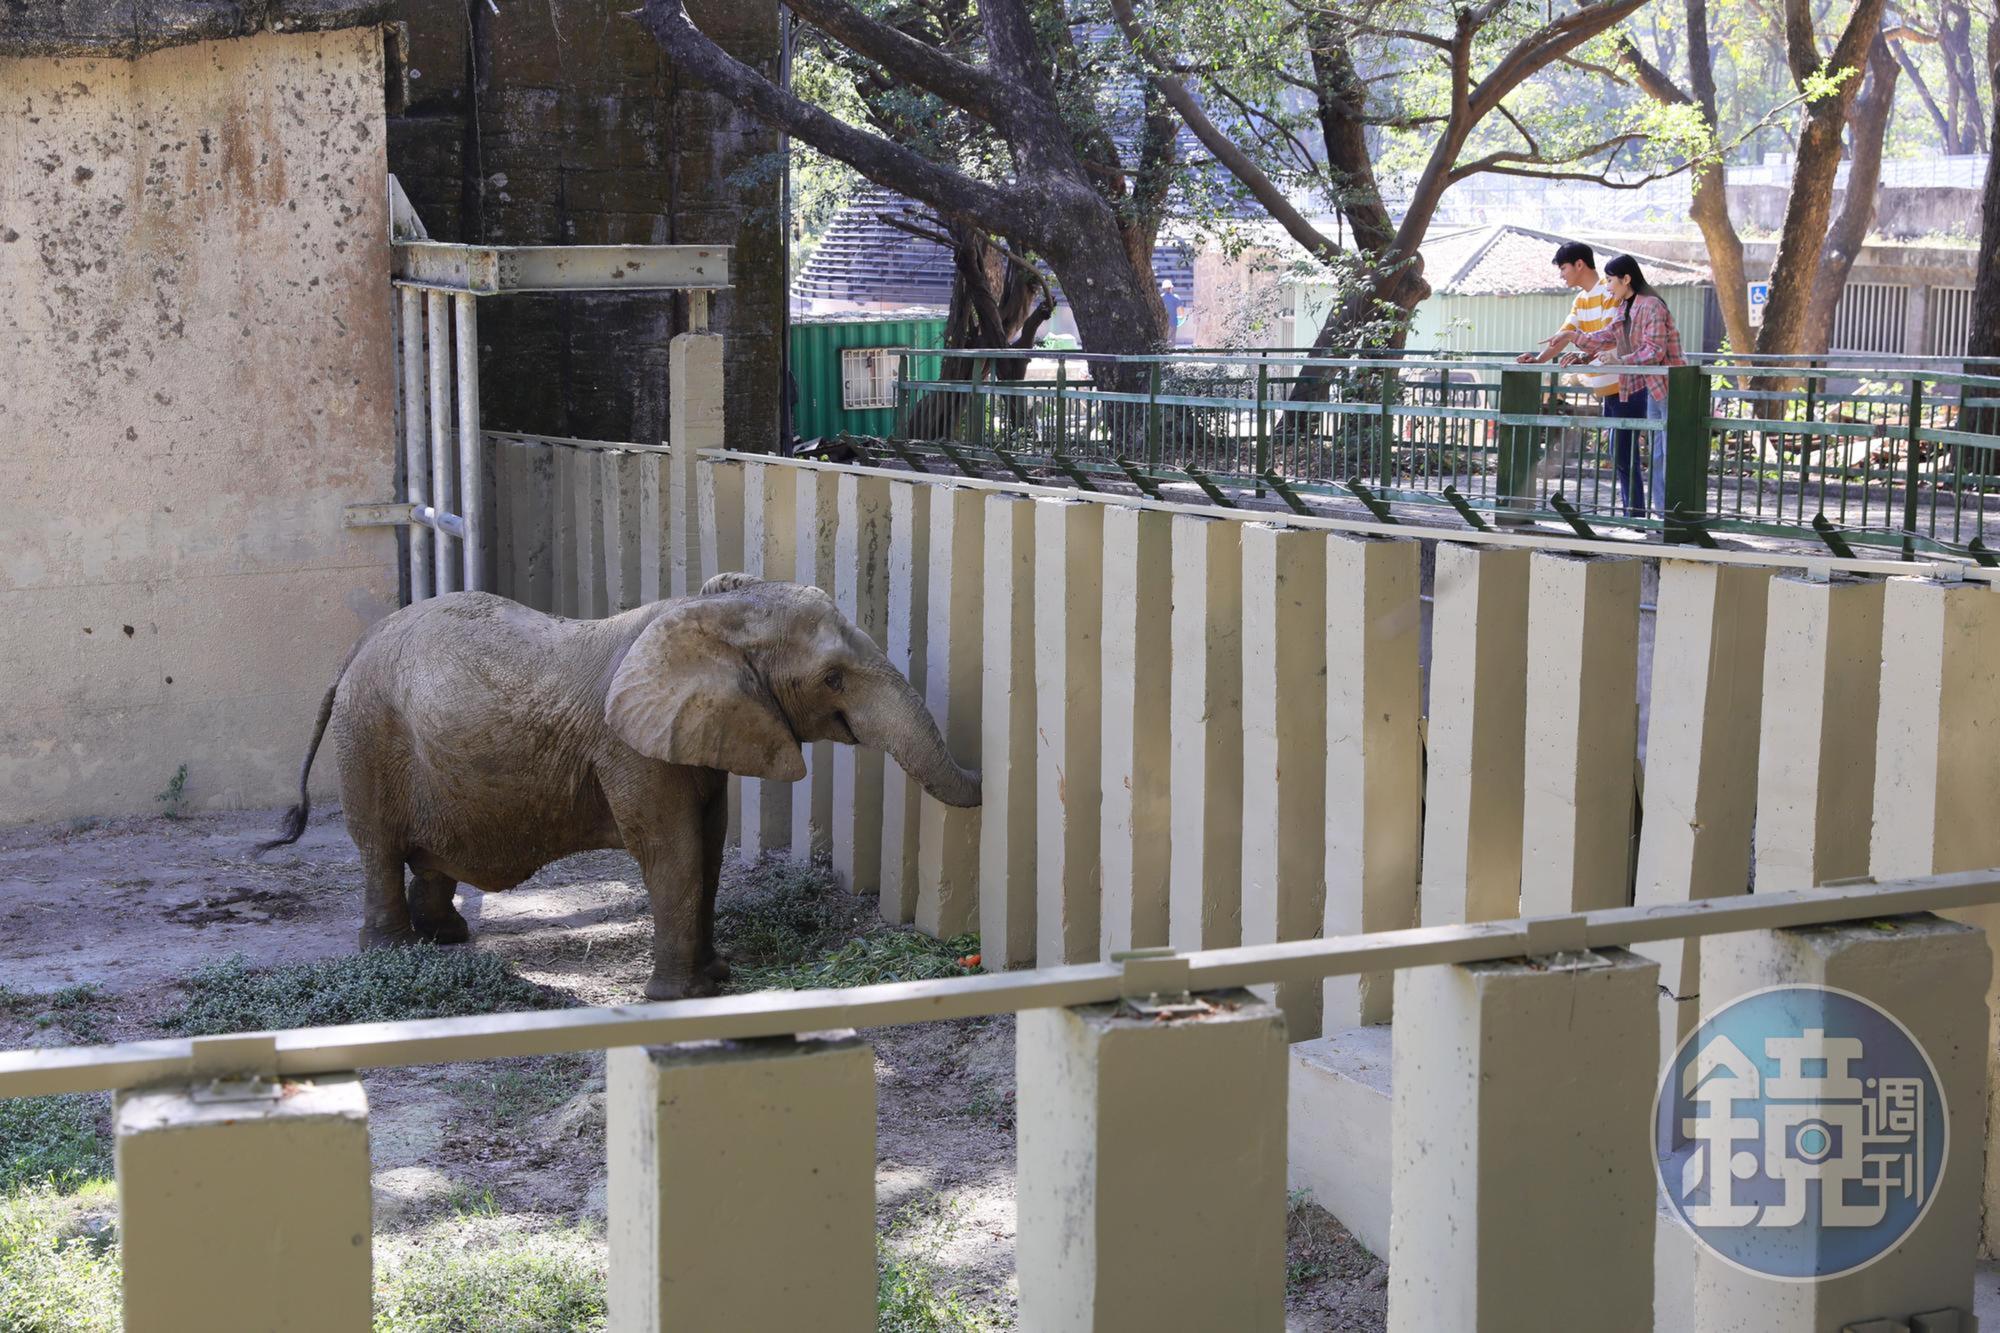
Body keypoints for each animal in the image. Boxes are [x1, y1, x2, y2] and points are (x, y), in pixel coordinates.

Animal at [259, 574, 981, 1000]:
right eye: (832, 678)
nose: (983, 775)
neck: (705, 615)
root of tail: (354, 649)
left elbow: (708, 849)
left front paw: (716, 977)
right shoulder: (630, 748)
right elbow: (674, 852)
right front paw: (681, 998)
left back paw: (448, 938)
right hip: (369, 737)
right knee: (378, 846)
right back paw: (395, 950)